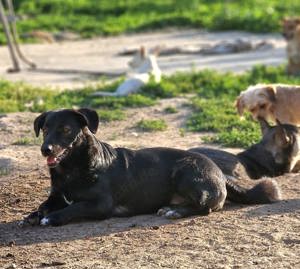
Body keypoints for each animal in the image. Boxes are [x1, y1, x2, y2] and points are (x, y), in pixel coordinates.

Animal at [20, 108, 282, 225]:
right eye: (45, 129)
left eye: (65, 129)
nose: (45, 149)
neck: (72, 168)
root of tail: (220, 171)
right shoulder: (57, 195)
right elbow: (44, 205)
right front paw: (33, 215)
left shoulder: (100, 204)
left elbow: (73, 208)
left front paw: (51, 218)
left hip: (185, 171)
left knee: (205, 207)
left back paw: (174, 211)